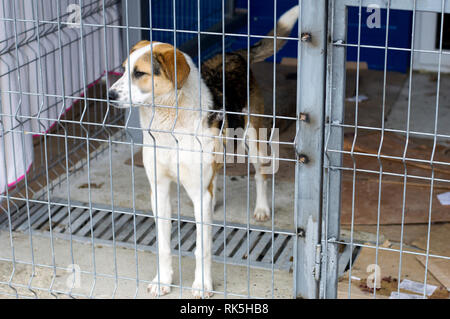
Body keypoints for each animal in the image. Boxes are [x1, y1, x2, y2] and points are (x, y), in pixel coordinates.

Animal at [107, 5, 300, 300]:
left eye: (140, 73)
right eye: (124, 70)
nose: (109, 95)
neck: (170, 125)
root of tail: (234, 53)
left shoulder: (199, 190)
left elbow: (203, 249)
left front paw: (202, 285)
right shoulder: (159, 190)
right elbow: (164, 244)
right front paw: (163, 281)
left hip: (254, 139)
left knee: (260, 174)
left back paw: (261, 208)